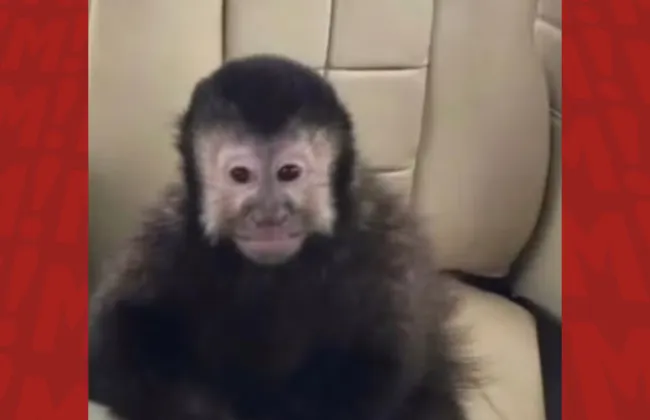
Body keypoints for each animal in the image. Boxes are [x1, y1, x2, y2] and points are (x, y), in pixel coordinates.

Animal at [89, 54, 475, 420]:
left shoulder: (383, 242)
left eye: (289, 172)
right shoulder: (167, 236)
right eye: (241, 175)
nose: (269, 215)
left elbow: (385, 365)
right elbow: (108, 346)